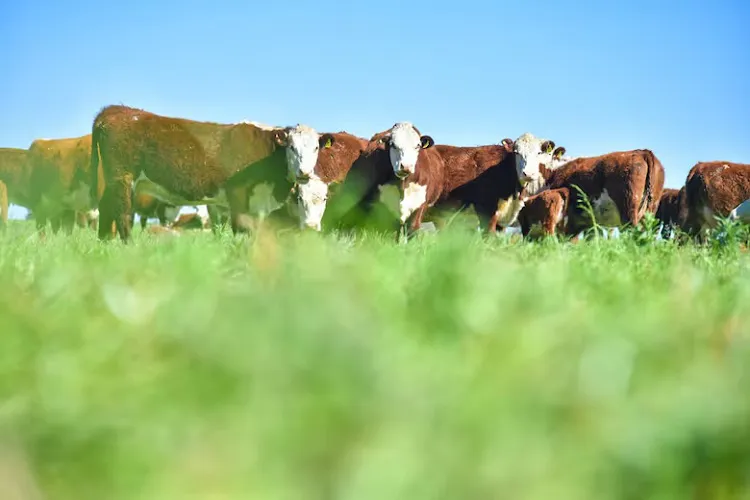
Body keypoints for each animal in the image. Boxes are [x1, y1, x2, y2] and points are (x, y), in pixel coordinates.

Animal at [89, 105, 333, 241]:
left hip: (114, 181)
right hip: (123, 178)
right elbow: (241, 229)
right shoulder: (237, 194)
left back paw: (104, 244)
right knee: (123, 215)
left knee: (106, 208)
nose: (304, 172)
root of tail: (116, 109)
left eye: (316, 147)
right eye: (291, 146)